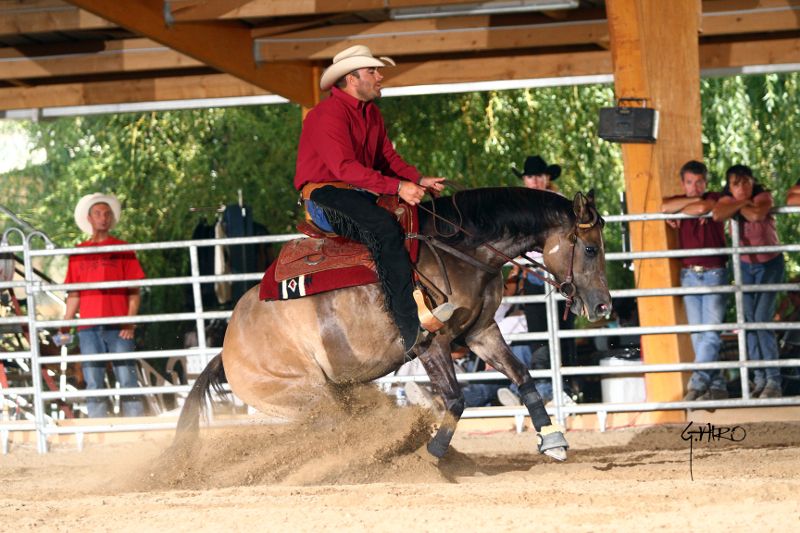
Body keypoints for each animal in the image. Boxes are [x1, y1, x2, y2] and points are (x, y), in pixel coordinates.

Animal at [177, 187, 612, 462]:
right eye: (591, 249)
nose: (603, 306)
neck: (458, 250)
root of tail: (226, 349)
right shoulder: (432, 343)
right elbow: (455, 399)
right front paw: (435, 453)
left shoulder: (480, 332)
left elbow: (522, 377)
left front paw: (553, 440)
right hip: (305, 394)